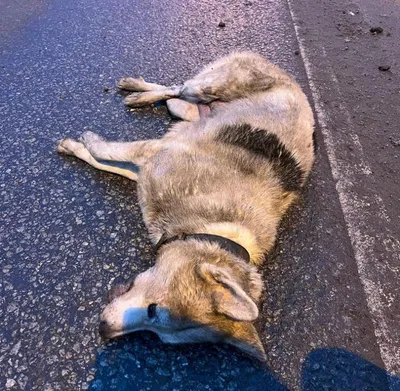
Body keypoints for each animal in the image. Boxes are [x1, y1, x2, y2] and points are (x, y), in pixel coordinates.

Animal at [57, 52, 316, 362]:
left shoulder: (146, 165)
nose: (103, 330)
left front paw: (78, 148)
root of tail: (285, 75)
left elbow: (104, 160)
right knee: (178, 87)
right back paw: (138, 91)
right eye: (153, 310)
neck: (212, 229)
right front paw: (84, 143)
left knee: (174, 98)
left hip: (188, 110)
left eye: (158, 332)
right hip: (206, 86)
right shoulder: (155, 153)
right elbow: (103, 152)